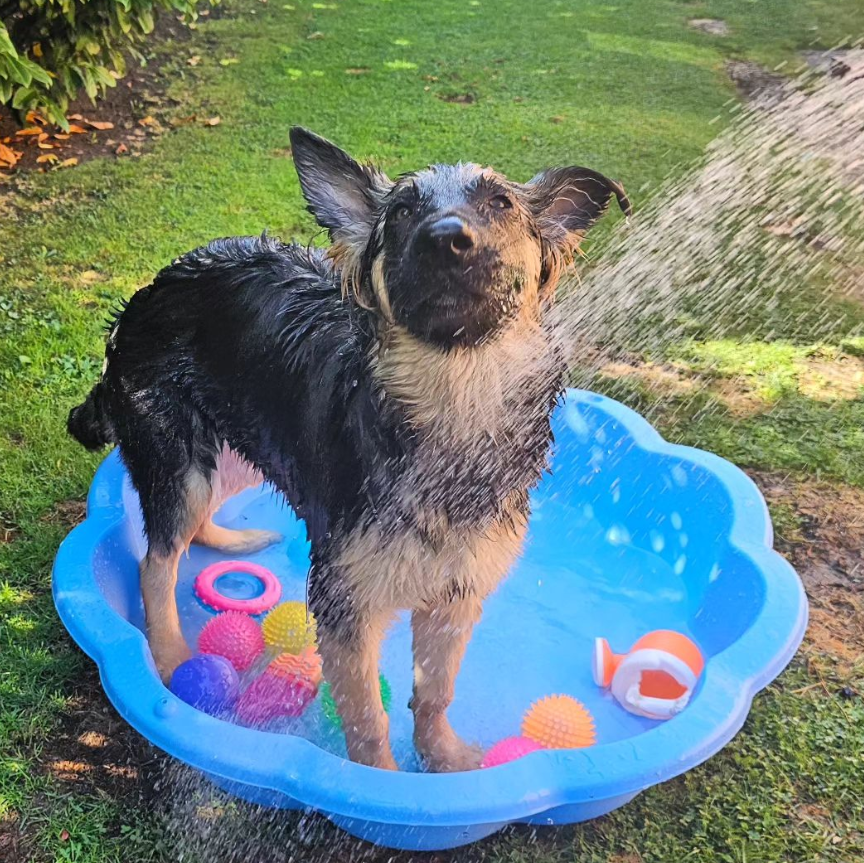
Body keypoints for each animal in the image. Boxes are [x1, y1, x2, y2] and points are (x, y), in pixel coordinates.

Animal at [67, 130, 628, 776]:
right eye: (403, 211)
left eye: (501, 204)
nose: (446, 238)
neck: (455, 395)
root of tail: (148, 291)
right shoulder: (346, 602)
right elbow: (366, 717)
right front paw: (382, 784)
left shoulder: (457, 593)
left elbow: (435, 691)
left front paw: (445, 760)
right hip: (182, 464)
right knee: (156, 563)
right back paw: (167, 653)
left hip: (242, 445)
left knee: (193, 527)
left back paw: (230, 540)